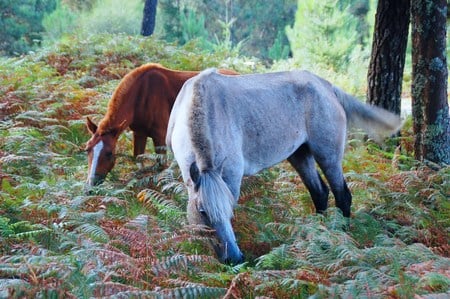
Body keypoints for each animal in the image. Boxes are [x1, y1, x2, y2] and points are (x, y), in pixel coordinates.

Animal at [85, 63, 237, 185]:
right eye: (87, 149)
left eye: (109, 153)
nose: (91, 183)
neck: (141, 95)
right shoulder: (139, 133)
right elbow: (138, 159)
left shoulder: (160, 136)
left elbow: (161, 167)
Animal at [167, 69, 402, 264]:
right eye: (203, 211)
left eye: (229, 210)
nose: (234, 258)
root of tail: (326, 86)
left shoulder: (231, 178)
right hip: (300, 155)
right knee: (320, 193)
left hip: (328, 156)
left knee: (342, 195)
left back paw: (341, 235)